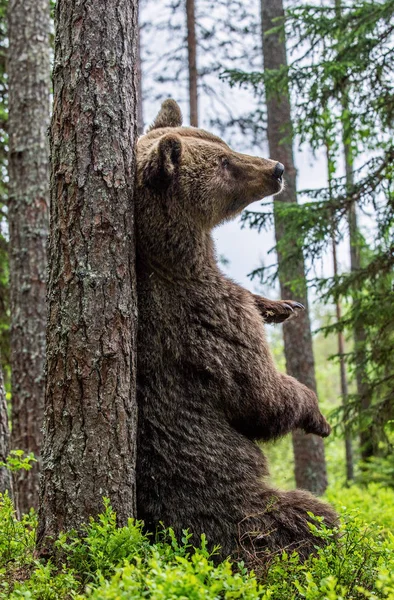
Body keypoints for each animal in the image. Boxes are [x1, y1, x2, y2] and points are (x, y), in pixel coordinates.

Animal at [135, 99, 336, 564]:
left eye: (223, 143)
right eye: (225, 163)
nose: (277, 169)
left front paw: (282, 306)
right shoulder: (206, 322)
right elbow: (261, 395)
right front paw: (317, 415)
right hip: (241, 514)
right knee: (310, 518)